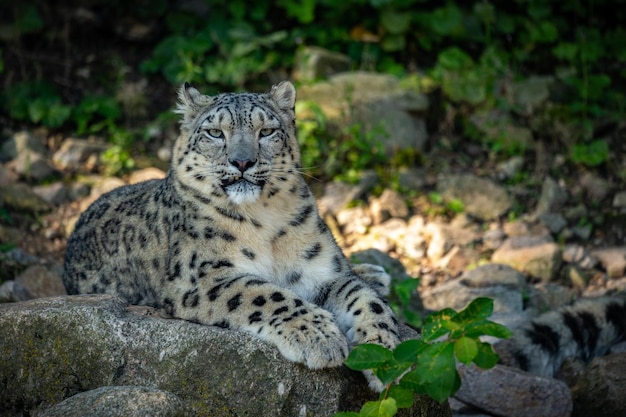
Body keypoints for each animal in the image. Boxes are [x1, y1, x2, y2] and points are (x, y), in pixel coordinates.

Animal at [61, 79, 398, 386]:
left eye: (266, 131)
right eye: (215, 132)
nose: (242, 161)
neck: (265, 220)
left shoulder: (321, 270)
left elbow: (365, 299)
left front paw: (386, 357)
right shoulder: (201, 277)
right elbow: (264, 294)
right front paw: (320, 337)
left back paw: (375, 274)